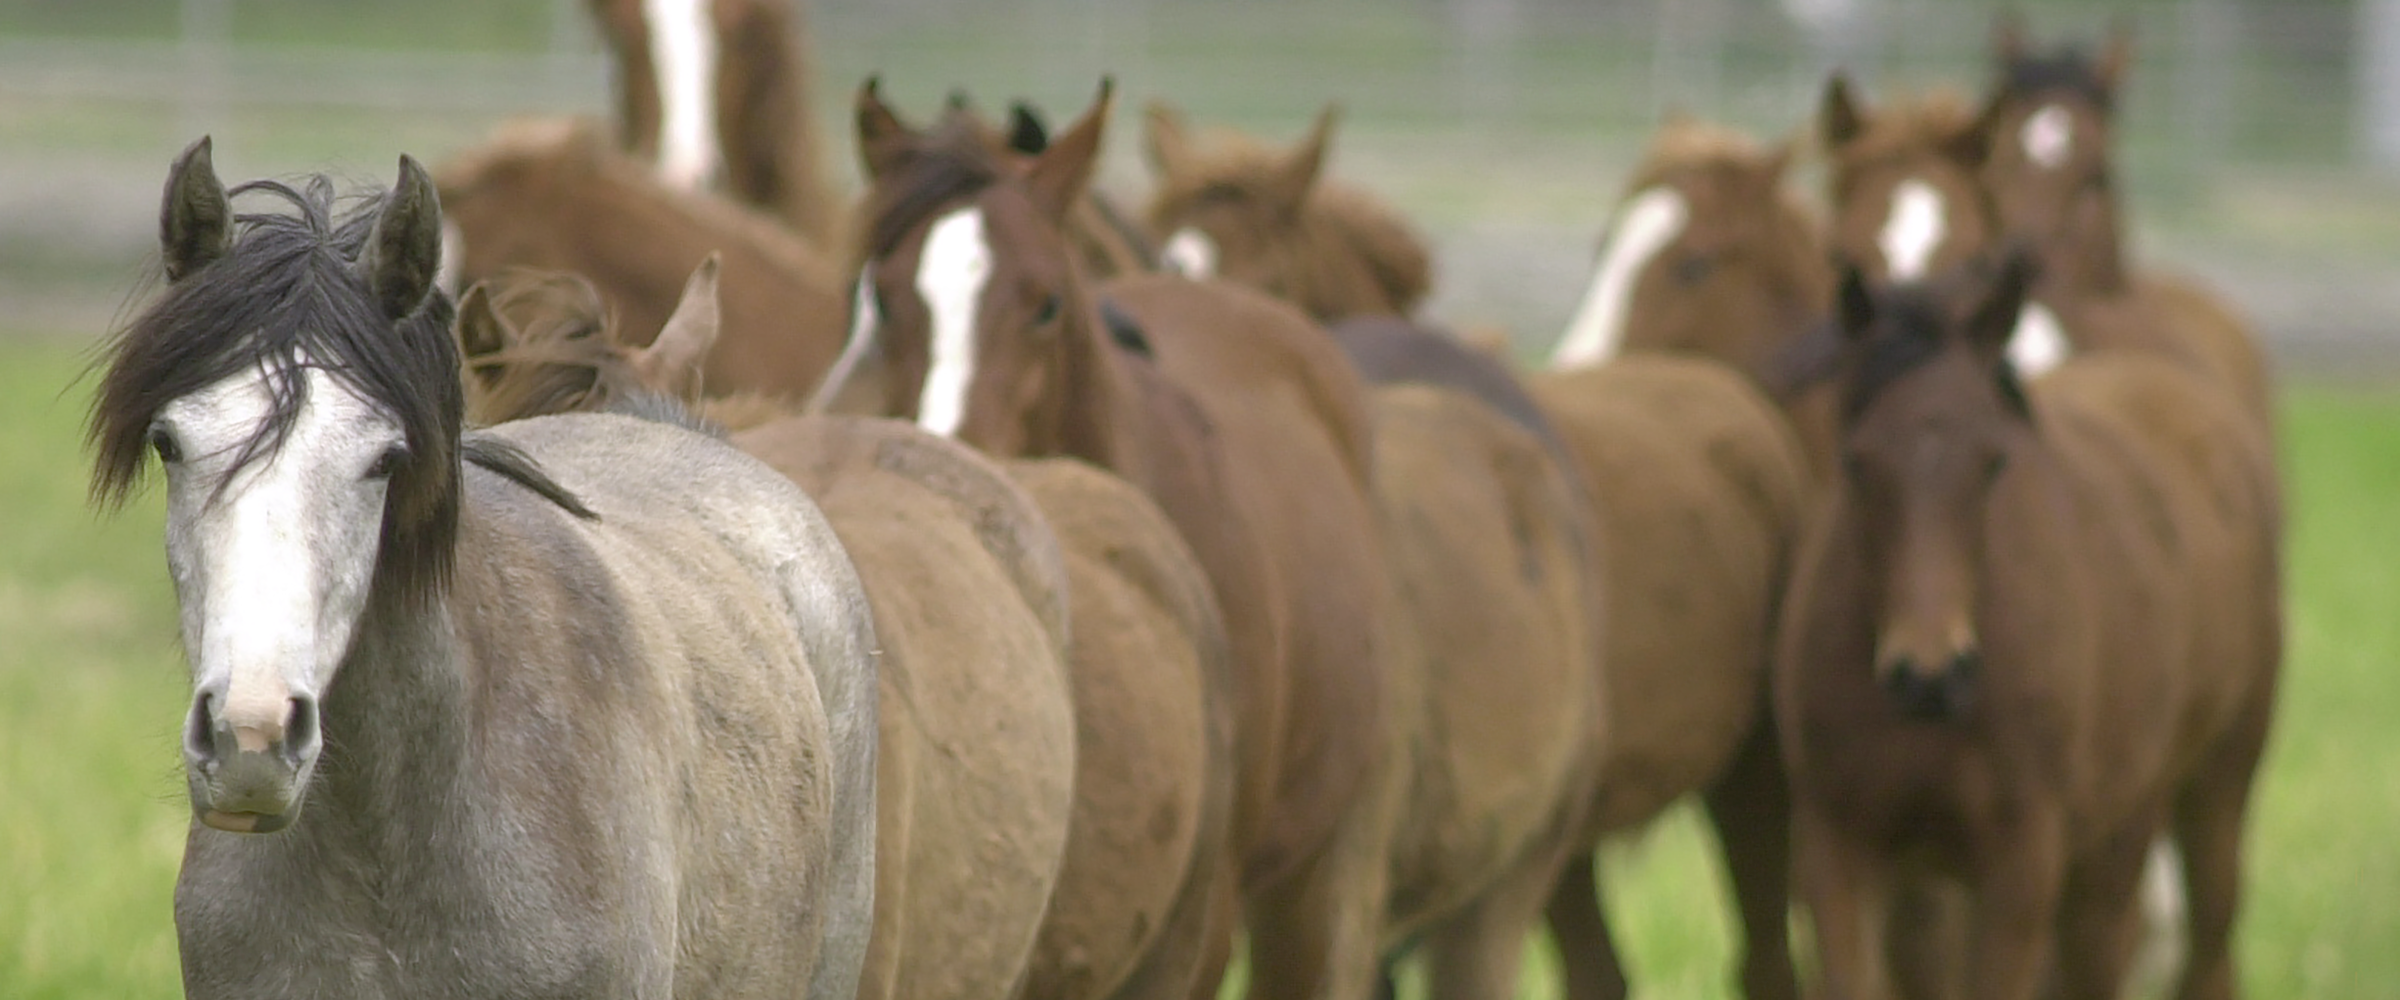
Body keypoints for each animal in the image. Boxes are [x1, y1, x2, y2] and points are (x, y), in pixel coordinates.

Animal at [1774, 250, 2280, 1000]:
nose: (1930, 675)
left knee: (2201, 947)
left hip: (2203, 795)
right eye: (1856, 462)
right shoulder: (1838, 852)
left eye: (1992, 462)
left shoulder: (2020, 865)